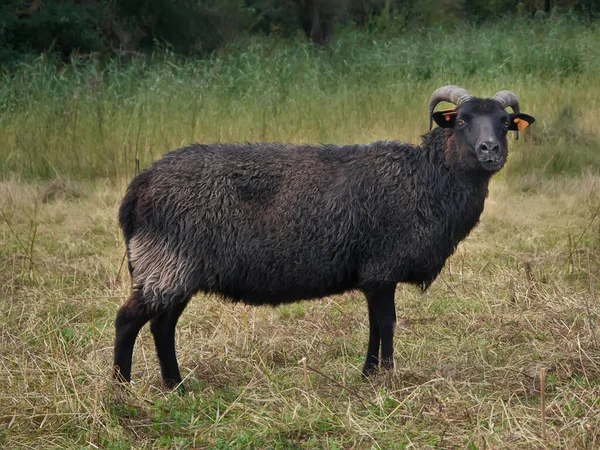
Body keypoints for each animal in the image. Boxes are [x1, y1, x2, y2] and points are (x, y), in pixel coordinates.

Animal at [112, 86, 536, 388]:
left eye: (504, 123)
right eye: (461, 120)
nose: (490, 150)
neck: (427, 178)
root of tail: (138, 188)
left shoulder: (373, 275)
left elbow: (375, 324)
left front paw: (368, 375)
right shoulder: (382, 266)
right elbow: (387, 323)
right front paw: (385, 378)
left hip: (174, 269)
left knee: (161, 326)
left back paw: (175, 386)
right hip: (167, 263)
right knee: (128, 320)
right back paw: (122, 388)